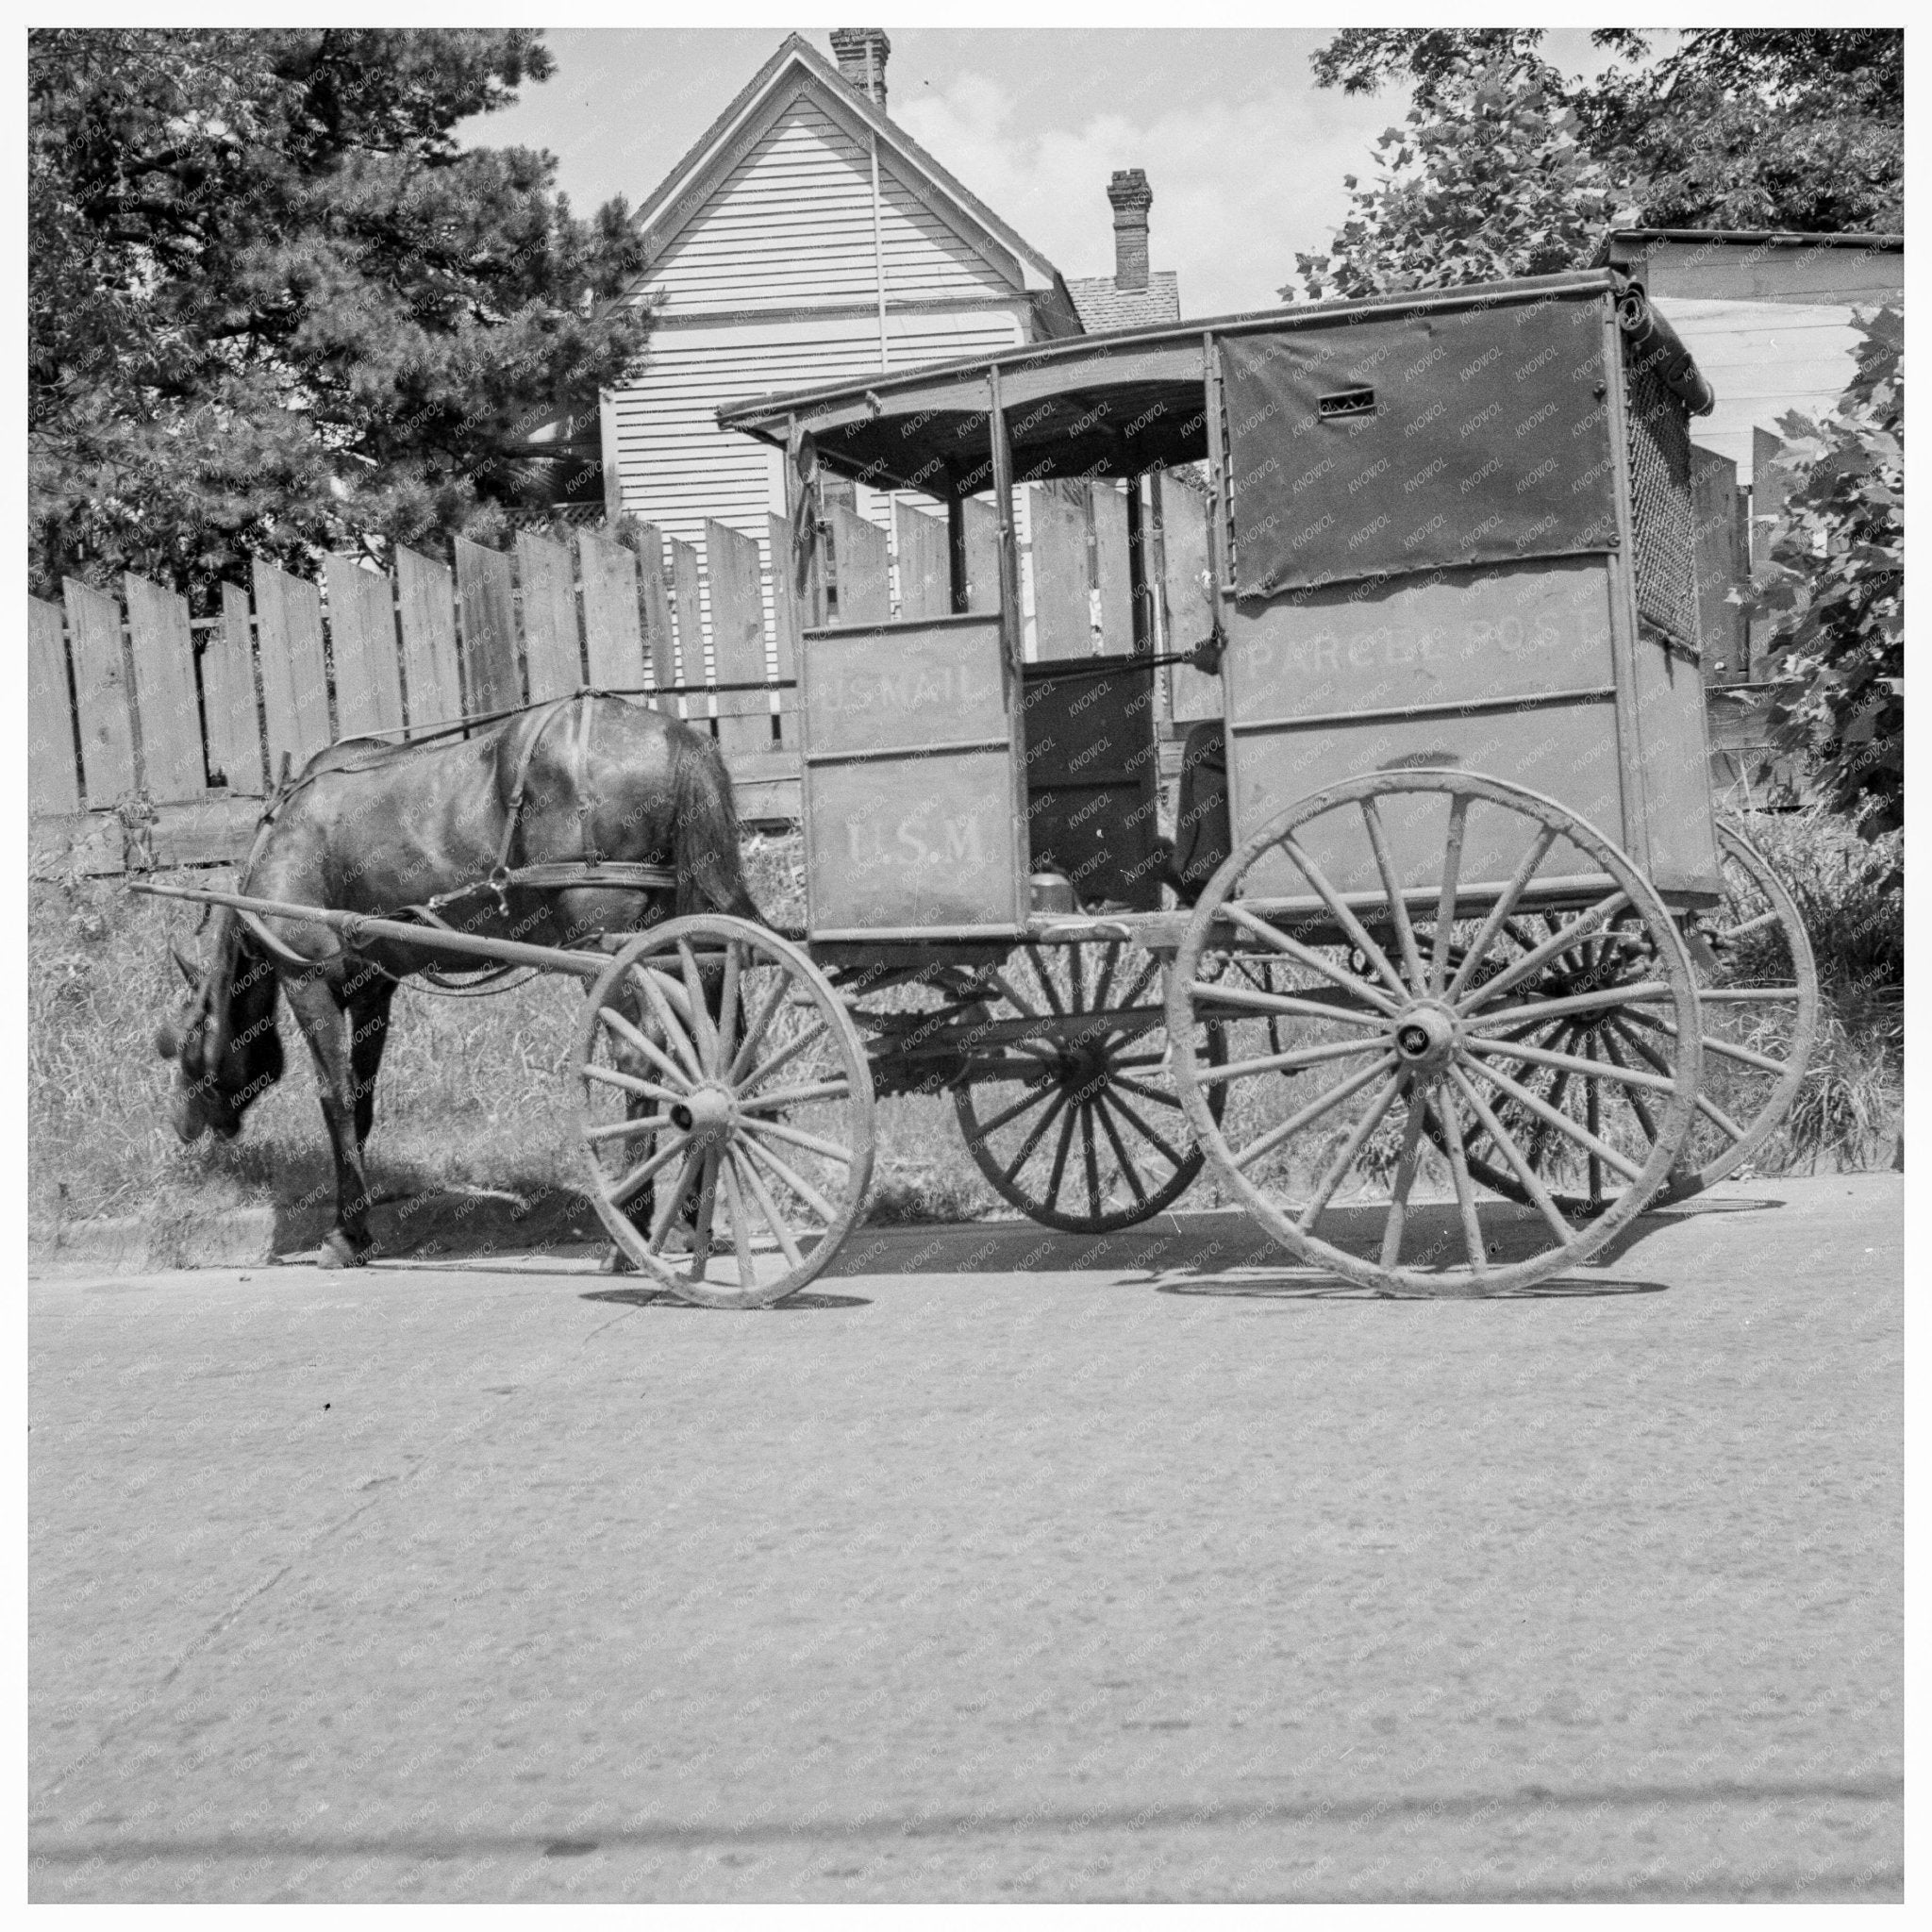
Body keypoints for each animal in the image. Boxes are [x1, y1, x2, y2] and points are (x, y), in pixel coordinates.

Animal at [156, 695, 760, 1267]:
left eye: (183, 1046)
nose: (183, 1127)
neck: (285, 835)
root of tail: (675, 737)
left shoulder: (307, 979)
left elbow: (336, 1099)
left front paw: (345, 1234)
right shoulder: (372, 989)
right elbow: (364, 1101)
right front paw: (359, 1225)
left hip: (608, 943)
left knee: (640, 1060)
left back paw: (630, 1230)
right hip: (680, 940)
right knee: (708, 1050)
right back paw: (688, 1215)